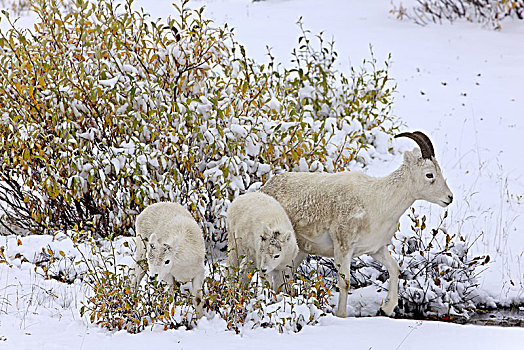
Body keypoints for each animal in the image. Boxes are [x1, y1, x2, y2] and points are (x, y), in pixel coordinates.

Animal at [260, 131, 452, 318]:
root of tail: (266, 188)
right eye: (429, 174)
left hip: (298, 252)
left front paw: (386, 309)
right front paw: (341, 316)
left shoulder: (376, 250)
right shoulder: (343, 248)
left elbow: (394, 269)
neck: (377, 202)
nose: (449, 198)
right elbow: (345, 282)